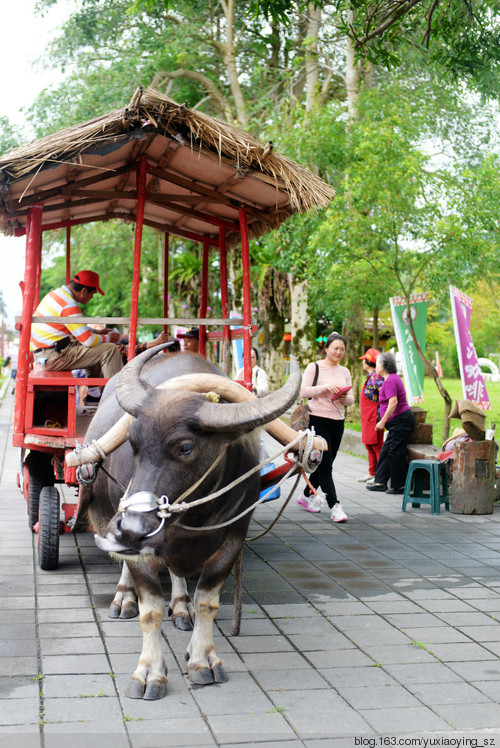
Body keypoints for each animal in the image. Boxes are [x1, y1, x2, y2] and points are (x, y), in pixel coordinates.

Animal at [76, 350, 298, 700]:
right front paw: (149, 671)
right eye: (133, 442)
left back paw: (181, 605)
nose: (133, 525)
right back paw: (124, 596)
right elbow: (150, 609)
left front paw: (202, 658)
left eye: (185, 447)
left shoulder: (234, 537)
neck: (194, 515)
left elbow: (206, 600)